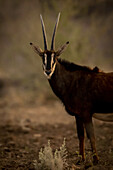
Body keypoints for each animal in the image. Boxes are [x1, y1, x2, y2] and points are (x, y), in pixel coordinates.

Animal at [29, 13, 113, 165]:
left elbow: (92, 136)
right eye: (42, 57)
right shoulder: (78, 115)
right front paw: (81, 160)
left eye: (55, 57)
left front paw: (95, 160)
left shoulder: (86, 114)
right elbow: (80, 135)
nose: (48, 70)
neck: (72, 82)